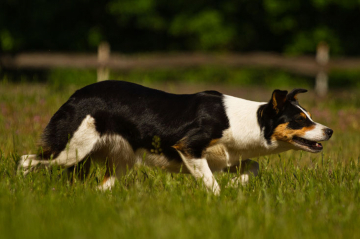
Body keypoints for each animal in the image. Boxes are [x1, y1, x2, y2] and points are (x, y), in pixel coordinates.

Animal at [18, 80, 334, 194]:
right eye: (300, 121)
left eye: (309, 117)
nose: (330, 130)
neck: (245, 122)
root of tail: (75, 94)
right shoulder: (189, 147)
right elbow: (211, 183)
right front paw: (221, 195)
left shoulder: (228, 157)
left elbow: (252, 167)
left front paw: (236, 183)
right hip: (70, 150)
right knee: (25, 161)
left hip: (120, 163)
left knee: (101, 186)